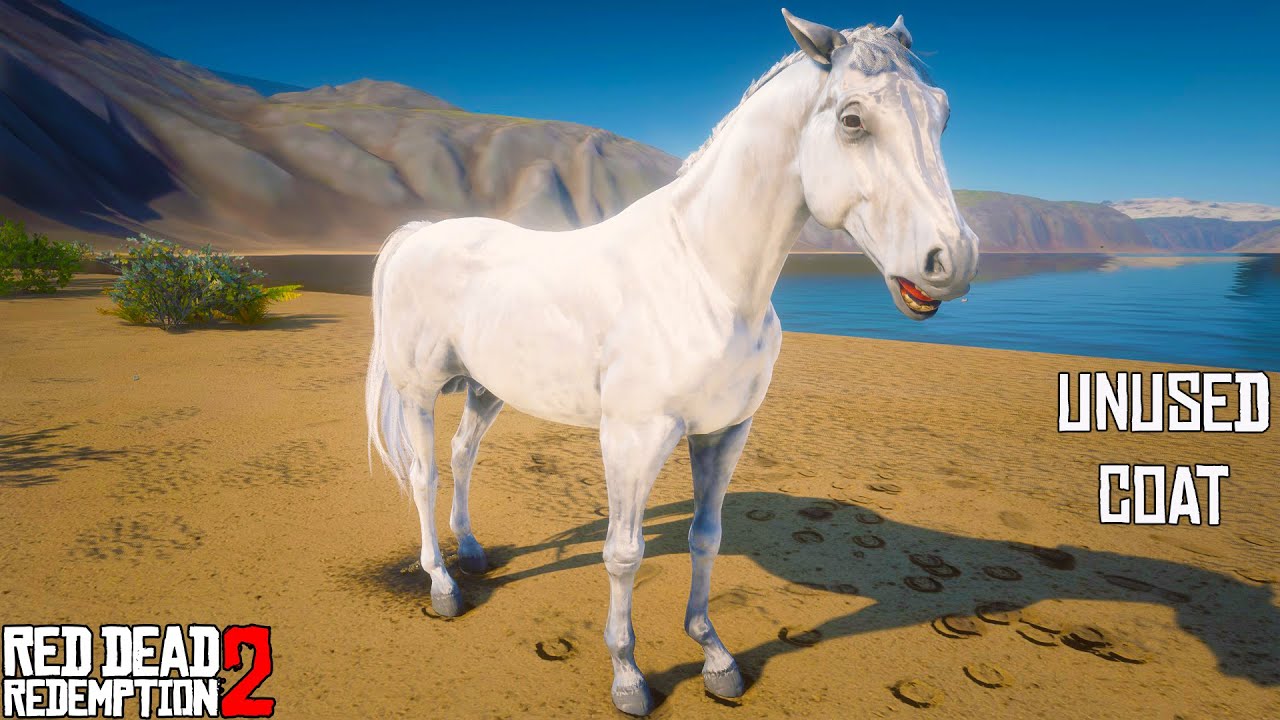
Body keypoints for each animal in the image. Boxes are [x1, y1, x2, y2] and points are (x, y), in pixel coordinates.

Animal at [366, 9, 979, 716]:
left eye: (943, 114)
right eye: (852, 119)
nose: (953, 261)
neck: (705, 274)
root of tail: (419, 234)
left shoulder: (724, 432)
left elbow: (705, 536)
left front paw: (715, 656)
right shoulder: (633, 439)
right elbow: (623, 554)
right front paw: (628, 676)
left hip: (486, 389)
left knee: (463, 457)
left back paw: (471, 552)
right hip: (419, 391)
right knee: (426, 476)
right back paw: (443, 584)